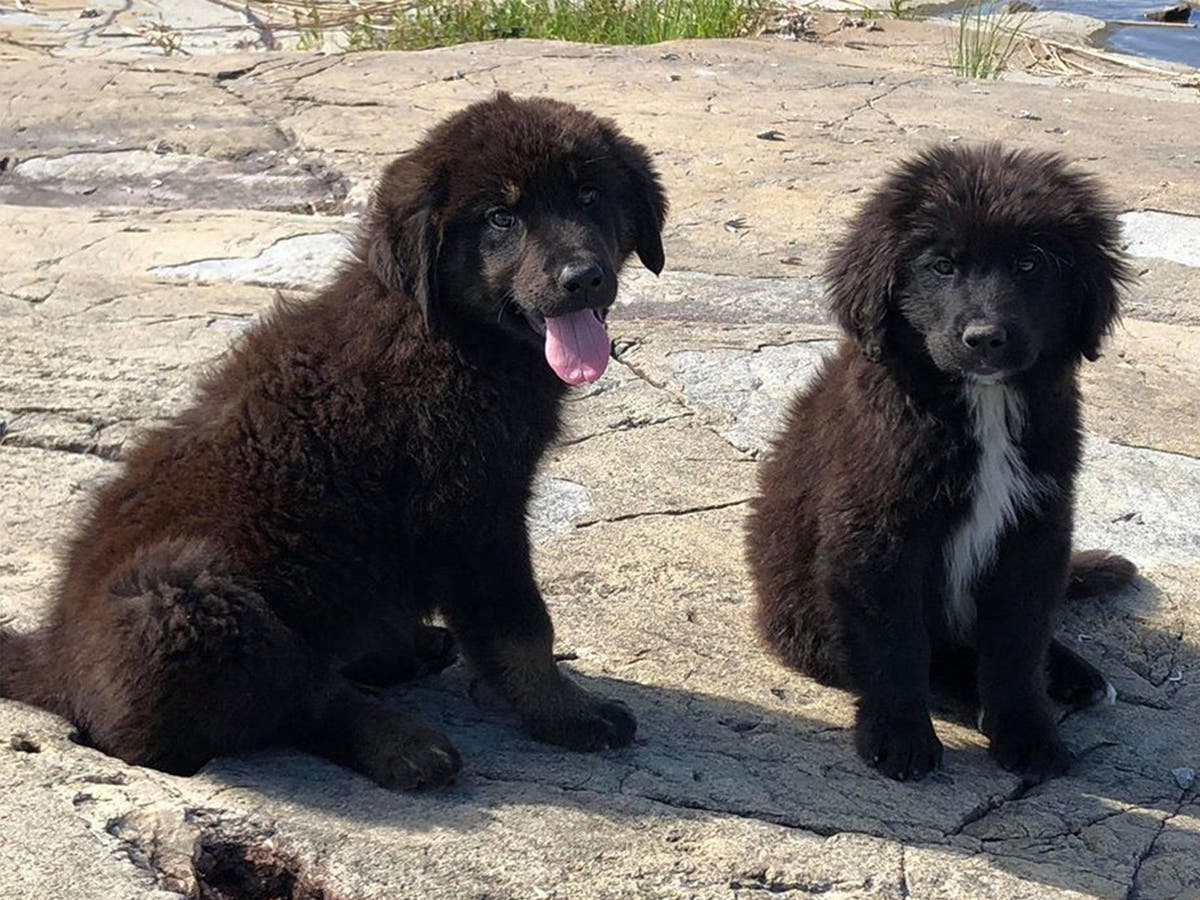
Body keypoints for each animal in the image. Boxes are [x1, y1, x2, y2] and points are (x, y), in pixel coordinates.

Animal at [0, 93, 667, 787]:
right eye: (501, 217)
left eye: (589, 195)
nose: (582, 278)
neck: (451, 335)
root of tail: (54, 658)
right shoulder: (474, 515)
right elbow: (522, 628)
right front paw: (569, 715)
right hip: (182, 596)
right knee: (288, 694)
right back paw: (401, 742)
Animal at [748, 146, 1132, 782]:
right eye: (942, 267)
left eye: (1030, 264)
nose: (986, 338)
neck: (983, 406)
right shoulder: (878, 532)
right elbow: (898, 645)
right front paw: (901, 739)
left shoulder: (1036, 528)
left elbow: (1018, 644)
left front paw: (1028, 735)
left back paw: (1075, 676)